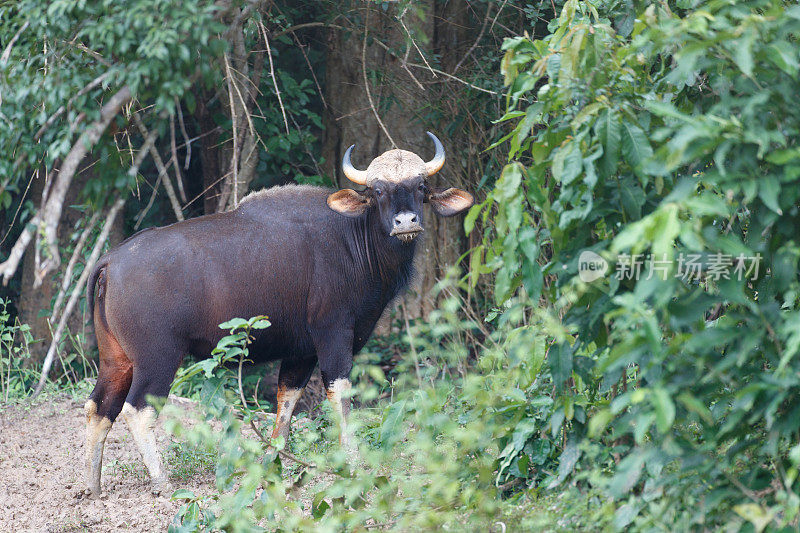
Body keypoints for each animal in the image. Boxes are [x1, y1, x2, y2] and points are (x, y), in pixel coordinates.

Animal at [86, 132, 476, 494]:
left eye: (421, 186)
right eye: (378, 191)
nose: (405, 222)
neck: (353, 240)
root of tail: (111, 260)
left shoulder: (300, 352)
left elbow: (286, 400)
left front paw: (273, 463)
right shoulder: (334, 335)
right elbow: (339, 394)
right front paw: (351, 460)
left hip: (116, 359)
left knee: (98, 408)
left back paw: (93, 486)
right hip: (158, 356)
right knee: (138, 410)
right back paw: (162, 482)